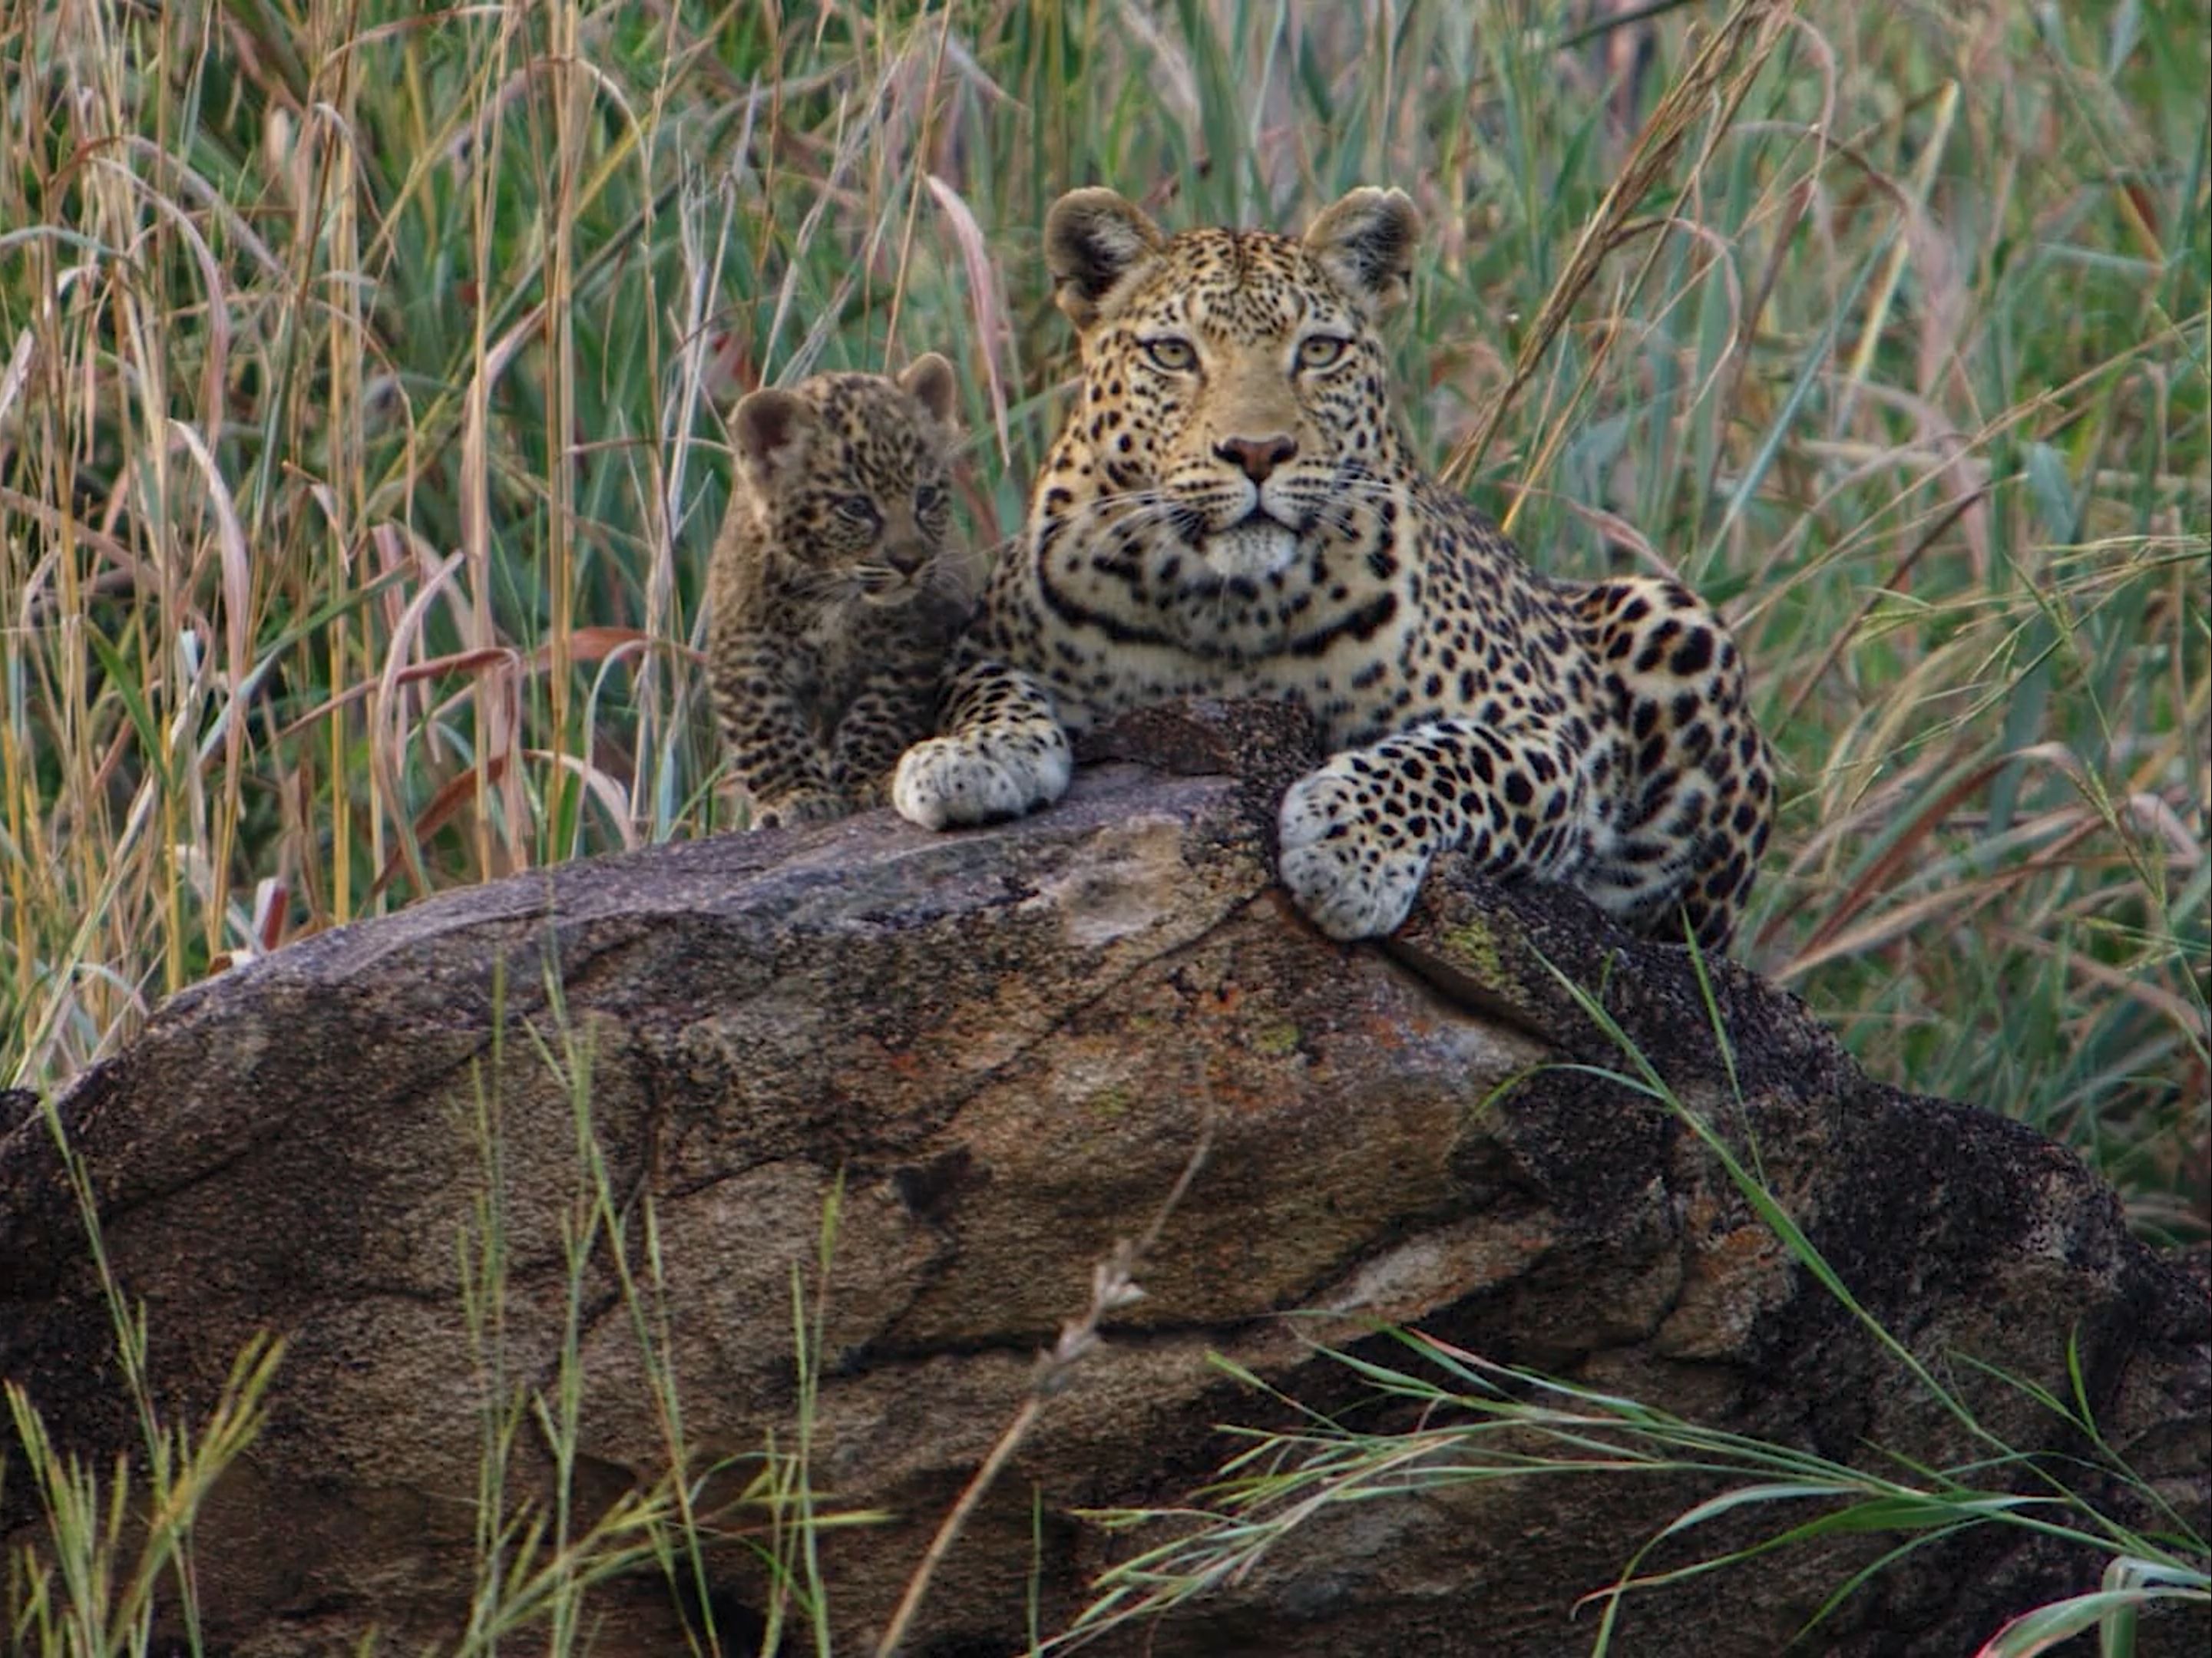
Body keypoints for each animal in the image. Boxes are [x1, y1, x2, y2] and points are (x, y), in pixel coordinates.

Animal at [889, 184, 1769, 946]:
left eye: (1317, 351)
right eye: (1173, 353)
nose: (1257, 451)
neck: (1227, 612)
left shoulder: (1551, 736)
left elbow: (1451, 756)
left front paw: (1349, 848)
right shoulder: (975, 639)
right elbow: (983, 684)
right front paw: (975, 758)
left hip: (1673, 618)